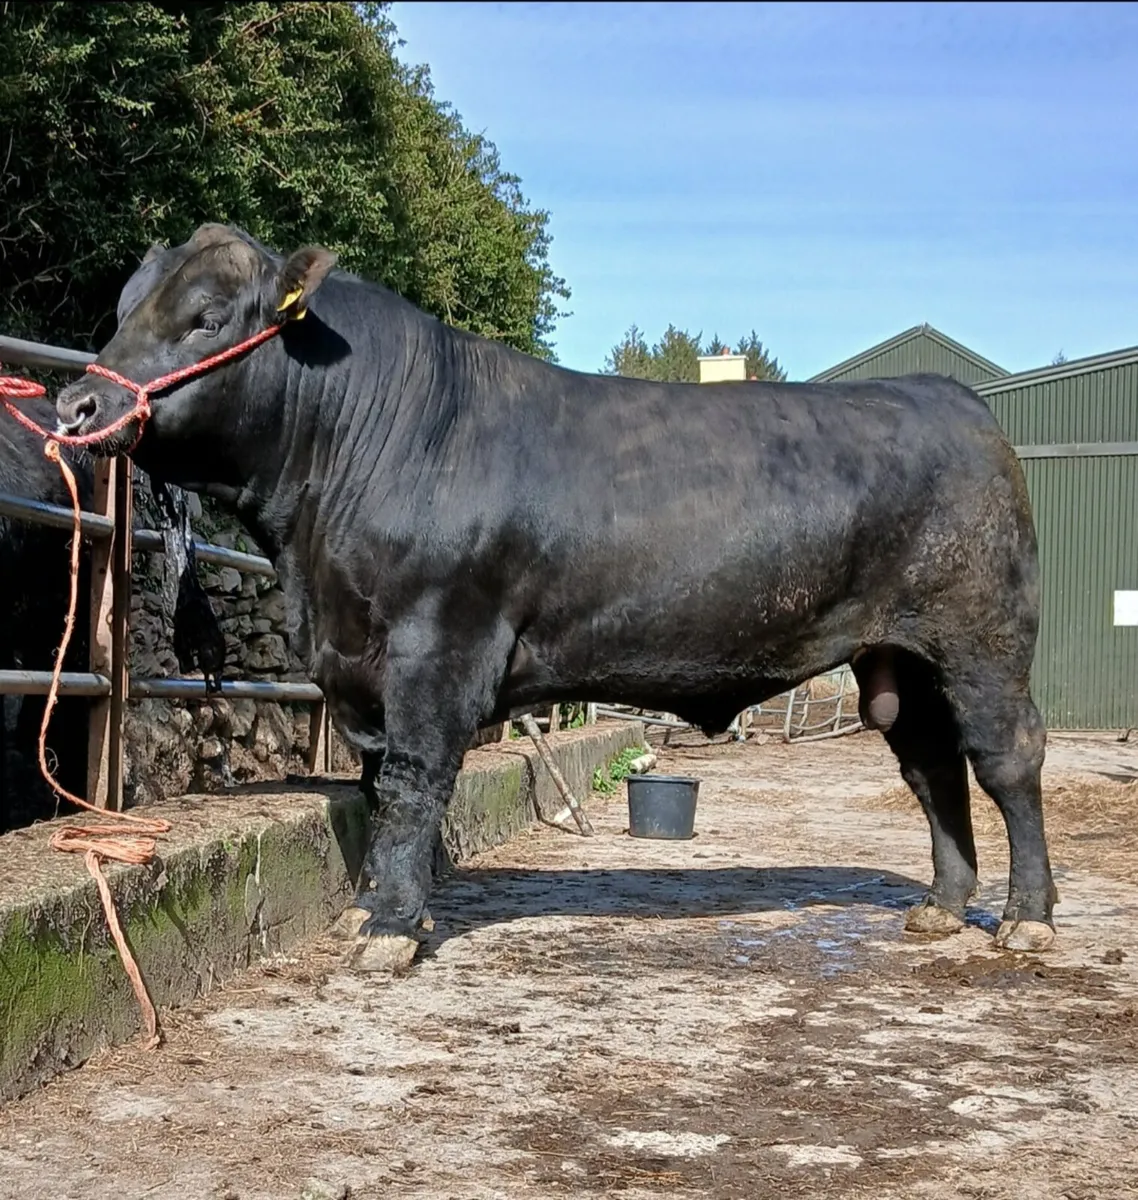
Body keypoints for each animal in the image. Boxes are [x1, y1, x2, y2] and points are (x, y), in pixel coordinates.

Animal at [56, 223, 1057, 972]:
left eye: (206, 317)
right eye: (123, 307)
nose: (76, 407)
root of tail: (952, 400)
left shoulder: (438, 645)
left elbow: (415, 784)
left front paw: (389, 929)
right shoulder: (360, 663)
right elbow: (380, 784)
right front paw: (378, 909)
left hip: (982, 640)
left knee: (1004, 758)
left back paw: (1028, 918)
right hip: (899, 658)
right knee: (932, 765)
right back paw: (942, 904)